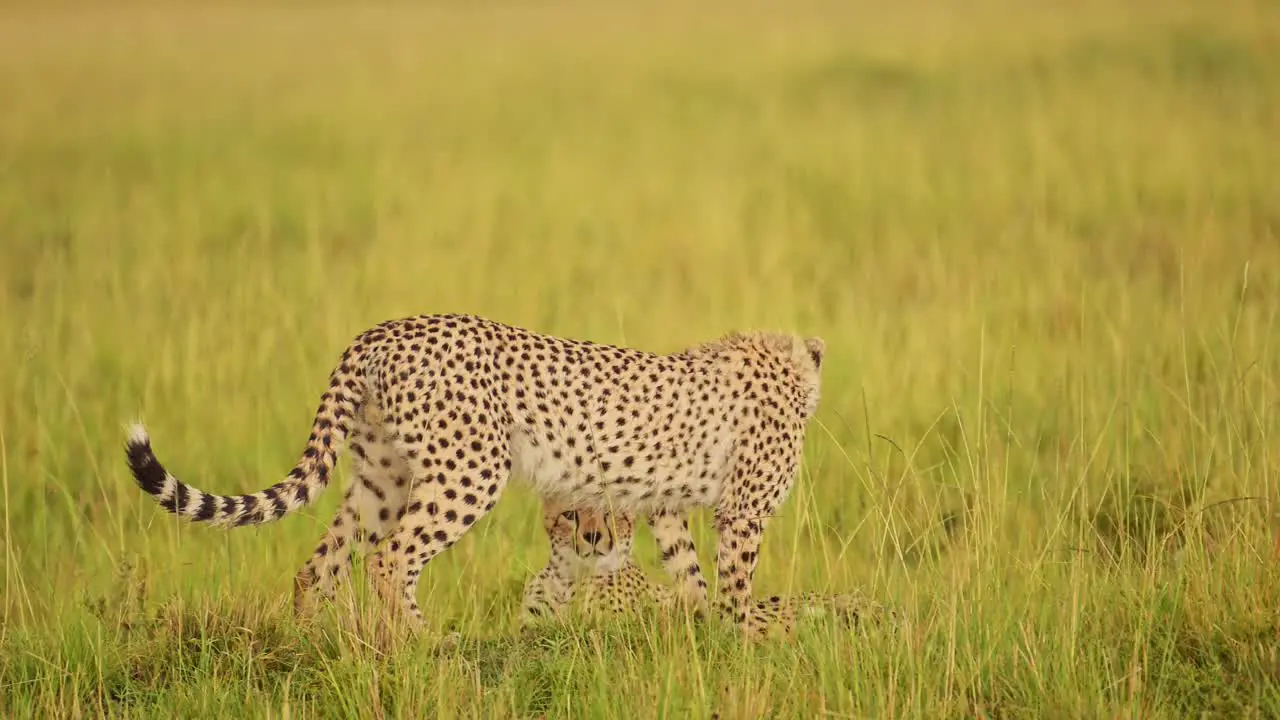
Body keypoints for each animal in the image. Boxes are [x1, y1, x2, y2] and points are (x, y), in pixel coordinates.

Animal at [124, 311, 824, 630]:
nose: (595, 537)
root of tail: (384, 329)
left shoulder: (665, 506)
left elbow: (690, 574)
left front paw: (702, 635)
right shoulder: (744, 511)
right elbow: (734, 584)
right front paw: (739, 642)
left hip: (383, 479)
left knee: (320, 565)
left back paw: (316, 645)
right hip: (471, 470)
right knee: (389, 560)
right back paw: (423, 645)